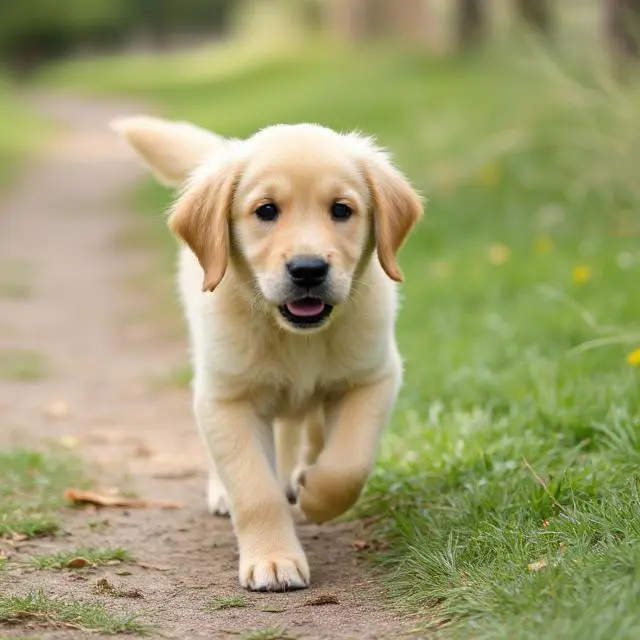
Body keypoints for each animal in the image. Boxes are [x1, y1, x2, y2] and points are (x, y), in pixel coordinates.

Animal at [111, 115, 420, 592]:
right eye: (266, 211)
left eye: (341, 210)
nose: (308, 270)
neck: (295, 336)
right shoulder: (227, 399)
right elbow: (255, 489)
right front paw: (273, 559)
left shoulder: (373, 378)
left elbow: (348, 465)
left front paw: (316, 494)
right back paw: (229, 491)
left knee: (303, 429)